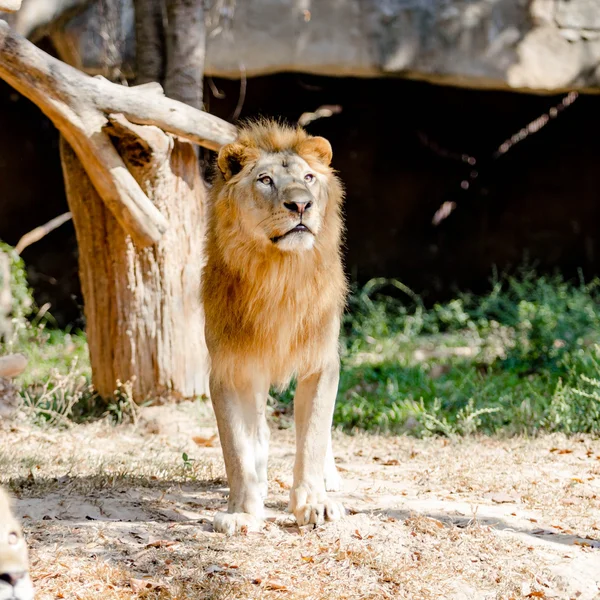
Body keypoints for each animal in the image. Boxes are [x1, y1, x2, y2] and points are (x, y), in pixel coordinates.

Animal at [204, 119, 346, 532]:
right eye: (265, 180)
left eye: (309, 178)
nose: (301, 204)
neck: (280, 276)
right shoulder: (229, 367)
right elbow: (236, 448)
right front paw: (242, 511)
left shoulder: (321, 361)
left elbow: (313, 435)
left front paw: (314, 503)